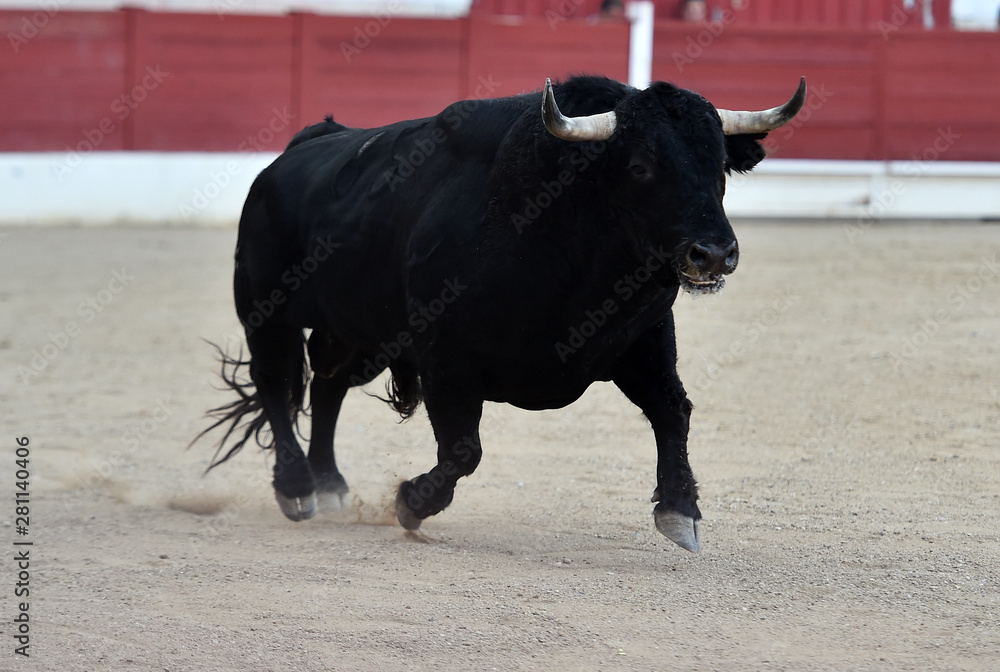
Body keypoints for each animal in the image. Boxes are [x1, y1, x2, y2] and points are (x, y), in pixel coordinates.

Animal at [197, 76, 804, 552]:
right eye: (639, 166)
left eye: (720, 165)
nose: (714, 254)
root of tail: (296, 151)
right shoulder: (446, 359)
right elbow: (464, 450)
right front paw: (410, 501)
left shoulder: (644, 338)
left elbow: (673, 409)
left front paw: (680, 510)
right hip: (265, 312)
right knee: (275, 384)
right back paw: (298, 489)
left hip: (358, 333)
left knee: (327, 388)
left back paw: (329, 484)